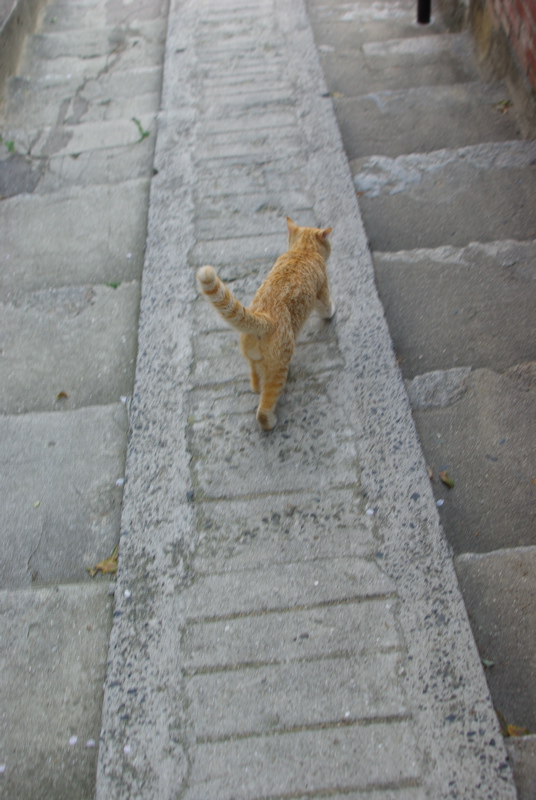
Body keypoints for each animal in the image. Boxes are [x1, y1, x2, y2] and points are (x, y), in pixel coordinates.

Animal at [195, 217, 332, 432]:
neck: (303, 251)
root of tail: (263, 317)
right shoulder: (322, 290)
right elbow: (326, 306)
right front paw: (332, 313)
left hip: (253, 358)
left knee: (255, 379)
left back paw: (256, 386)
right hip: (278, 368)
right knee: (266, 402)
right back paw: (269, 421)